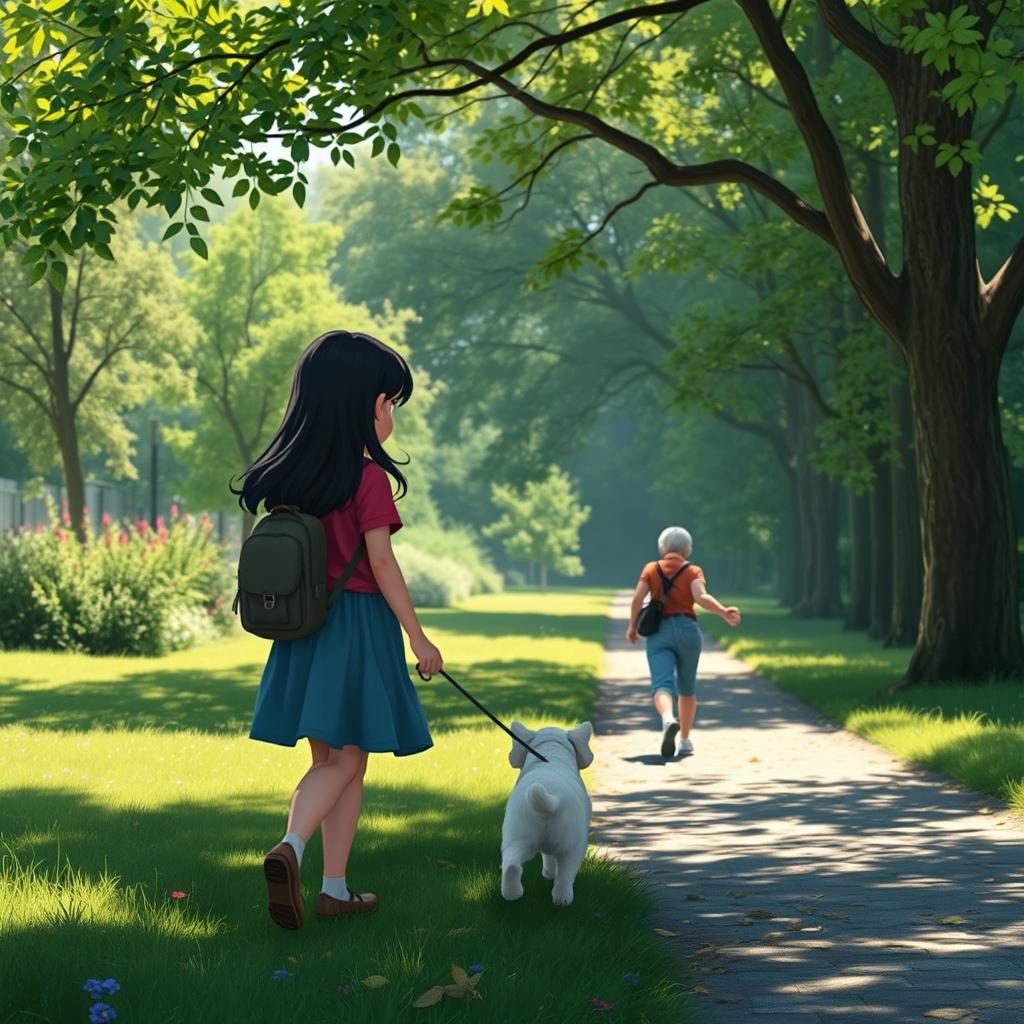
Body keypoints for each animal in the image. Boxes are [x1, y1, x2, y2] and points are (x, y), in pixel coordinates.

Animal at [497, 720, 593, 905]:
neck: (551, 752)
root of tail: (551, 801)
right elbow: (550, 859)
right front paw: (550, 874)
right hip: (573, 847)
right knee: (565, 874)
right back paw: (562, 898)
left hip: (518, 836)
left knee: (511, 864)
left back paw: (512, 894)